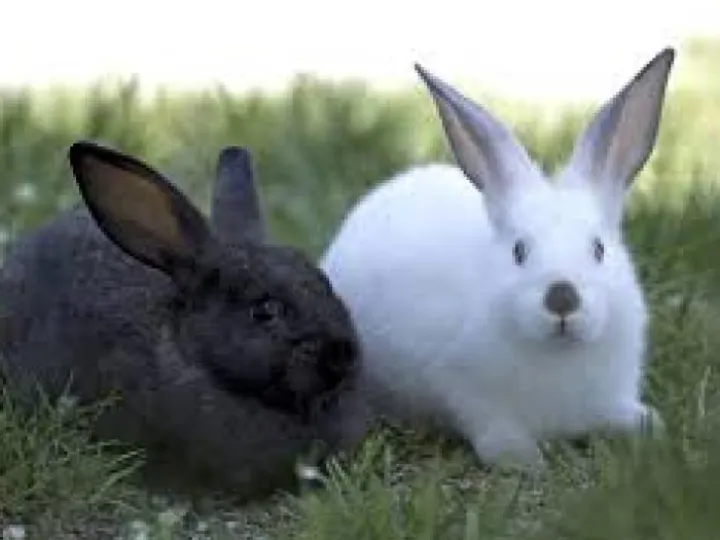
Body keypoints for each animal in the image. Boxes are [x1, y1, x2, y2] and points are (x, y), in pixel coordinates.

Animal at [320, 48, 675, 468]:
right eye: (519, 251)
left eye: (598, 249)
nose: (562, 298)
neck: (558, 354)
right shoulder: (465, 389)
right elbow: (493, 430)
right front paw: (524, 460)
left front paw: (650, 426)